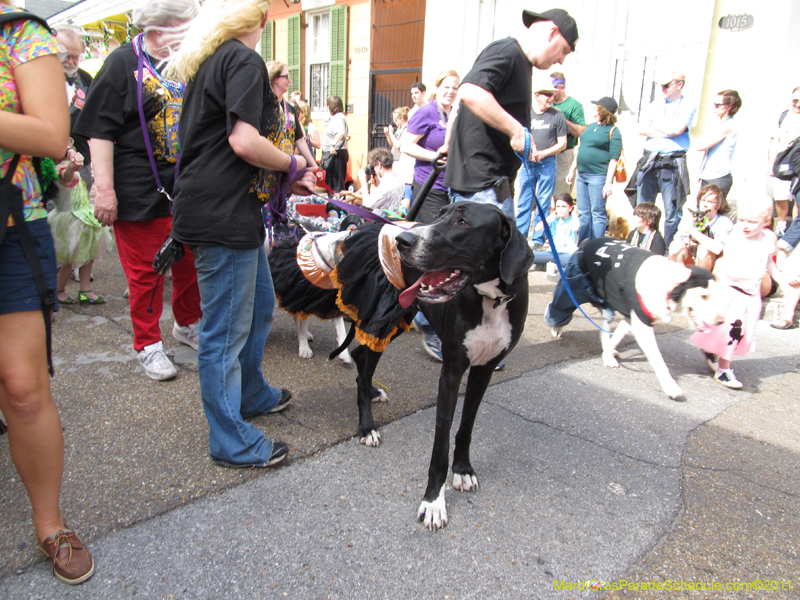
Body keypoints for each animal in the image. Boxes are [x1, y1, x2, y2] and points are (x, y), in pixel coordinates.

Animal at [328, 203, 536, 528]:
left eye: (462, 222)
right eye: (441, 213)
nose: (403, 241)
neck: (490, 301)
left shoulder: (484, 369)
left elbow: (466, 426)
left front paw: (463, 469)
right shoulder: (451, 372)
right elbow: (440, 443)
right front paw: (433, 502)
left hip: (397, 315)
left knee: (362, 353)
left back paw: (372, 391)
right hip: (384, 312)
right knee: (364, 363)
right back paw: (367, 426)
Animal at [548, 237, 728, 400]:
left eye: (717, 296)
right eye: (704, 296)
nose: (721, 321)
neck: (666, 283)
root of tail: (587, 243)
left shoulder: (633, 316)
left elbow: (617, 336)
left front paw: (608, 354)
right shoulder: (642, 325)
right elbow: (658, 360)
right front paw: (670, 386)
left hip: (607, 302)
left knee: (605, 327)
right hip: (575, 285)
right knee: (559, 307)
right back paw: (557, 327)